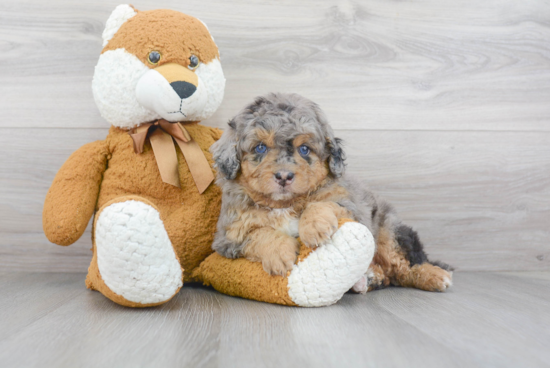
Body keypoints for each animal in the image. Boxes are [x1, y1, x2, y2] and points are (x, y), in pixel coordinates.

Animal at [209, 92, 454, 294]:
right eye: (260, 147)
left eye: (304, 149)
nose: (284, 176)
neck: (284, 205)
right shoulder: (228, 237)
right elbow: (258, 233)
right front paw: (279, 253)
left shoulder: (351, 207)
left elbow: (323, 203)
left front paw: (314, 227)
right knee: (389, 275)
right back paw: (370, 277)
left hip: (389, 232)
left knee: (403, 267)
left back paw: (434, 275)